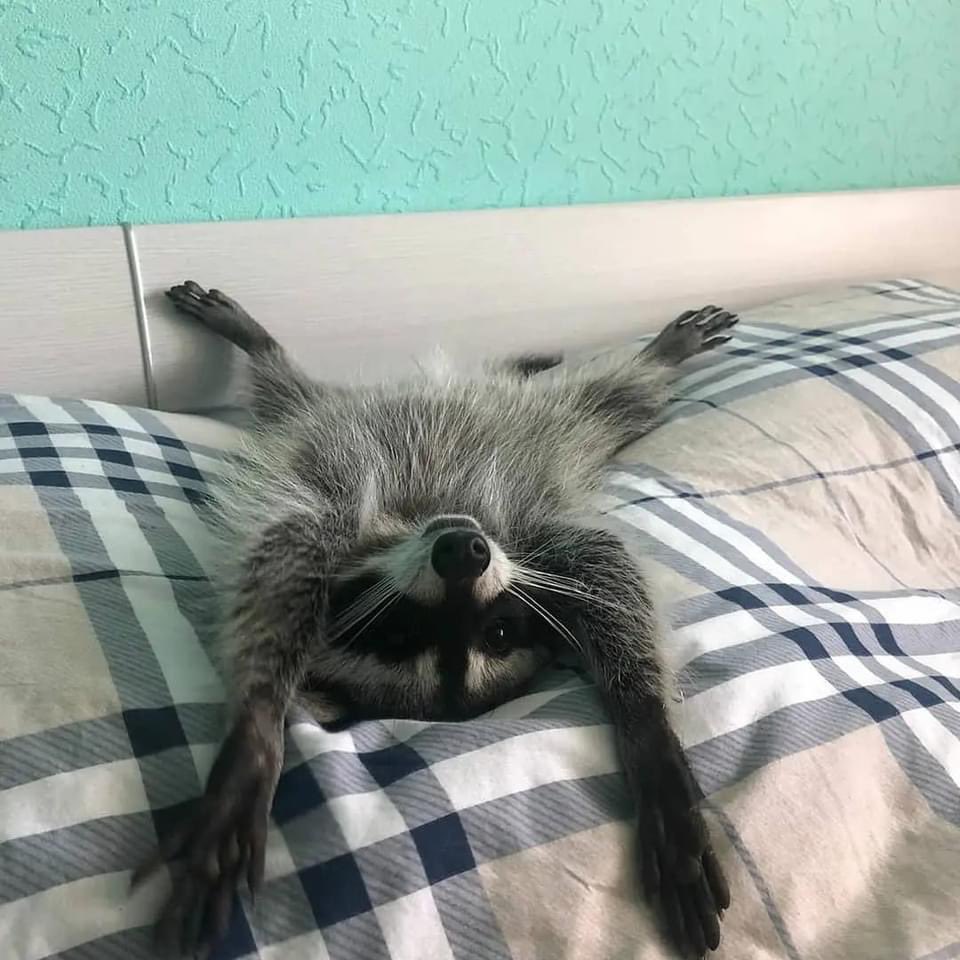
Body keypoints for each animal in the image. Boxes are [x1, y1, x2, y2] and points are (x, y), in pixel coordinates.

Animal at [134, 280, 737, 958]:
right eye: (400, 632)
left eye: (498, 632)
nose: (464, 552)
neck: (410, 523)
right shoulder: (332, 517)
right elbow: (282, 559)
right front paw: (259, 727)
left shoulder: (530, 538)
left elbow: (607, 571)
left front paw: (648, 728)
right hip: (319, 415)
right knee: (284, 384)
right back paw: (260, 342)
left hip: (553, 422)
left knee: (616, 395)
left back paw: (654, 354)